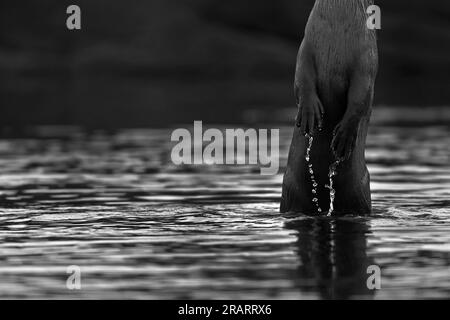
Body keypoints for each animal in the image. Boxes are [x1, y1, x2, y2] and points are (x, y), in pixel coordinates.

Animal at [282, 0, 376, 216]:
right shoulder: (307, 45)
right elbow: (302, 78)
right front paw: (309, 113)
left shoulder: (367, 60)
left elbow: (361, 98)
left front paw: (343, 137)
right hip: (290, 192)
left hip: (360, 195)